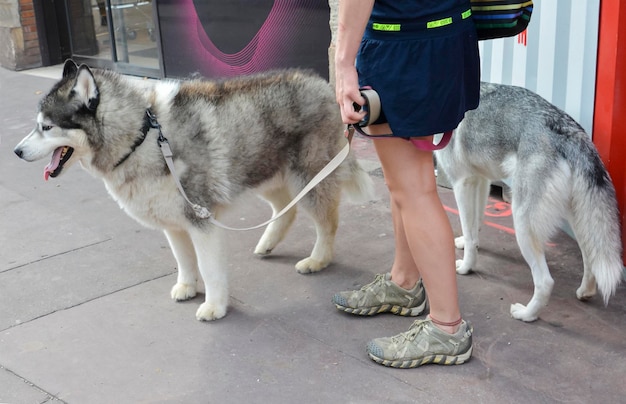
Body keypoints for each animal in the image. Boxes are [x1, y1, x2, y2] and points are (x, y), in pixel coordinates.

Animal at [14, 59, 372, 322]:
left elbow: (209, 269)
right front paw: (186, 286)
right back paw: (268, 242)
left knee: (327, 222)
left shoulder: (201, 220)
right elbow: (184, 260)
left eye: (47, 127)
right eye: (37, 125)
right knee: (287, 208)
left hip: (306, 179)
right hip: (261, 173)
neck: (141, 137)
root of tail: (322, 83)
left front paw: (214, 306)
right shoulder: (172, 222)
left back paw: (318, 259)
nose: (16, 152)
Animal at [436, 82, 620, 322]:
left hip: (522, 222)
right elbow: (475, 226)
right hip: (577, 220)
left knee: (545, 281)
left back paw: (526, 314)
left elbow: (469, 232)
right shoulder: (481, 181)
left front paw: (467, 267)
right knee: (589, 255)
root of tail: (570, 131)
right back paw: (585, 291)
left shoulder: (462, 183)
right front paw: (467, 245)